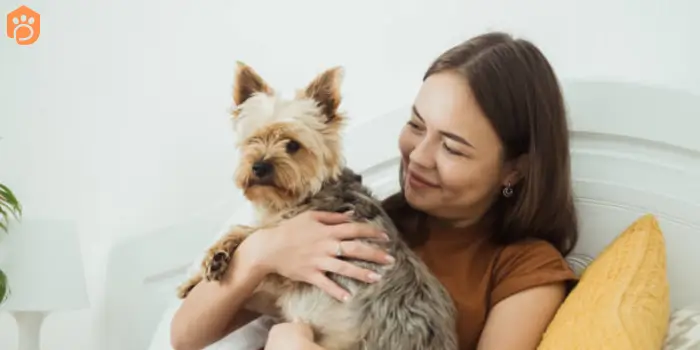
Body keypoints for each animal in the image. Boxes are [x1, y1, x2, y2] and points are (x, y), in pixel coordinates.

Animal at [178, 61, 456, 348]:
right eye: (252, 139)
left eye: (292, 145)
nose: (259, 166)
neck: (301, 196)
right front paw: (195, 279)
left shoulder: (288, 270)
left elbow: (252, 233)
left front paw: (216, 255)